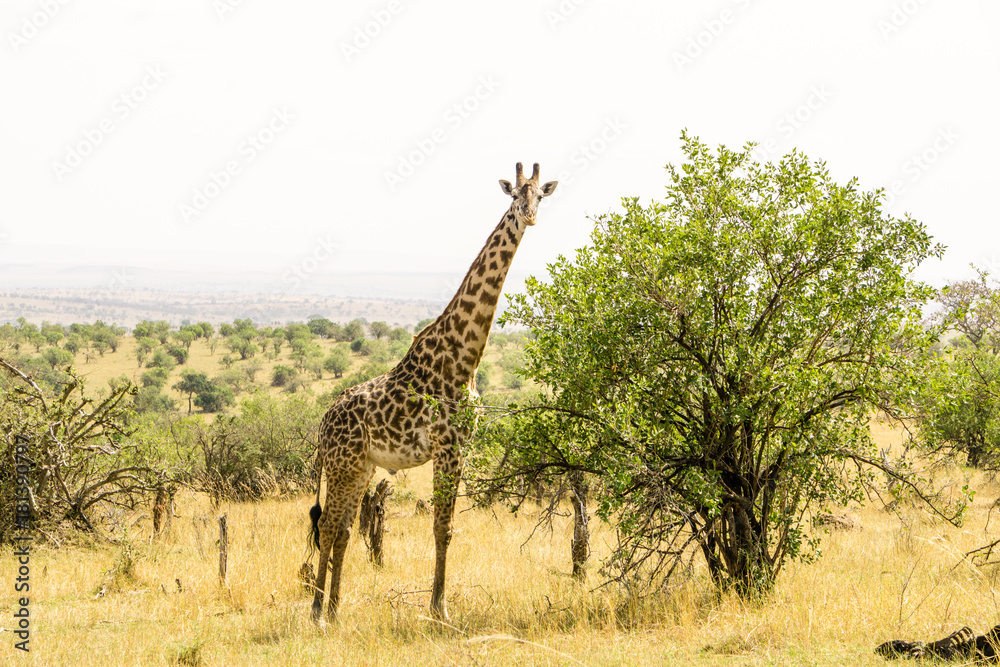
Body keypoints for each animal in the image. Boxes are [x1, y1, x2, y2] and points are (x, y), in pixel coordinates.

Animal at [309, 163, 557, 623]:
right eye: (515, 196)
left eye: (540, 197)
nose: (529, 217)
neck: (466, 355)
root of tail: (322, 424)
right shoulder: (446, 445)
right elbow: (442, 527)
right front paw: (439, 610)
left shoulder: (462, 445)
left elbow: (449, 527)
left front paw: (439, 606)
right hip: (341, 465)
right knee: (329, 526)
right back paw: (316, 610)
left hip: (361, 467)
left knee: (343, 529)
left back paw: (334, 610)